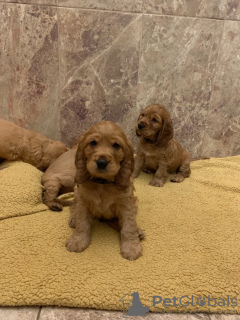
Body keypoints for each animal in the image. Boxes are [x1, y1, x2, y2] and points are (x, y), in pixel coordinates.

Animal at [65, 121, 142, 262]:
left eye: (116, 145)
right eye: (93, 143)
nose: (102, 162)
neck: (102, 183)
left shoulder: (126, 204)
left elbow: (129, 226)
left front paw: (131, 248)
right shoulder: (83, 201)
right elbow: (82, 223)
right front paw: (77, 241)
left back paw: (138, 231)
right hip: (76, 192)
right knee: (73, 205)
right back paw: (73, 219)